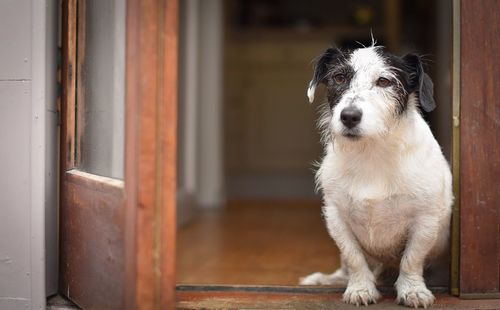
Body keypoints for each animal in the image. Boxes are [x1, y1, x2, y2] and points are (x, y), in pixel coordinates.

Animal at [298, 43, 456, 308]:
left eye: (384, 81)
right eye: (339, 77)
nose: (349, 116)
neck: (371, 151)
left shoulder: (425, 220)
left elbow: (412, 259)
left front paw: (413, 290)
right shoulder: (336, 218)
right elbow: (353, 257)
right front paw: (360, 288)